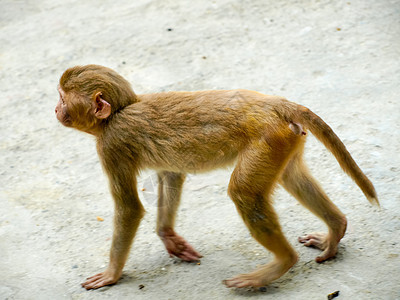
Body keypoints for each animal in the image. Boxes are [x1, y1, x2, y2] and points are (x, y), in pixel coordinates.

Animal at [54, 63, 378, 290]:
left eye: (62, 99)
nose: (56, 108)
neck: (120, 111)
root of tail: (274, 103)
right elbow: (171, 175)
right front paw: (169, 237)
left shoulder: (112, 145)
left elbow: (130, 208)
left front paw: (112, 274)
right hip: (286, 138)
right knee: (291, 177)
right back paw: (335, 229)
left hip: (267, 138)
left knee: (244, 193)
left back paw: (281, 264)